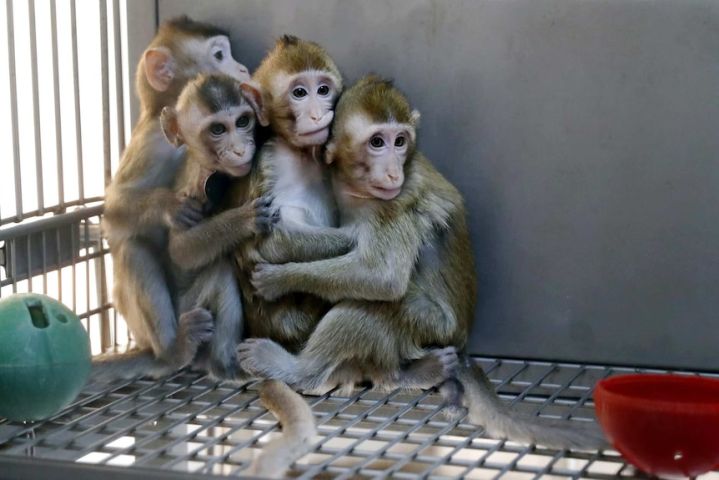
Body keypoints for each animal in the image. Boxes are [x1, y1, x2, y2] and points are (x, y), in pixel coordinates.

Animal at [101, 17, 251, 370]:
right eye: (220, 55)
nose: (242, 68)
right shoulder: (153, 143)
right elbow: (113, 210)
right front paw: (169, 206)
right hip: (153, 325)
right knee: (133, 250)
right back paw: (174, 348)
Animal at [237, 76, 607, 449]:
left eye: (400, 142)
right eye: (377, 142)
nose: (392, 173)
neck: (355, 189)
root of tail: (461, 337)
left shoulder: (395, 205)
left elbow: (382, 278)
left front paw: (280, 279)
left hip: (433, 326)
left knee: (375, 305)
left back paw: (300, 371)